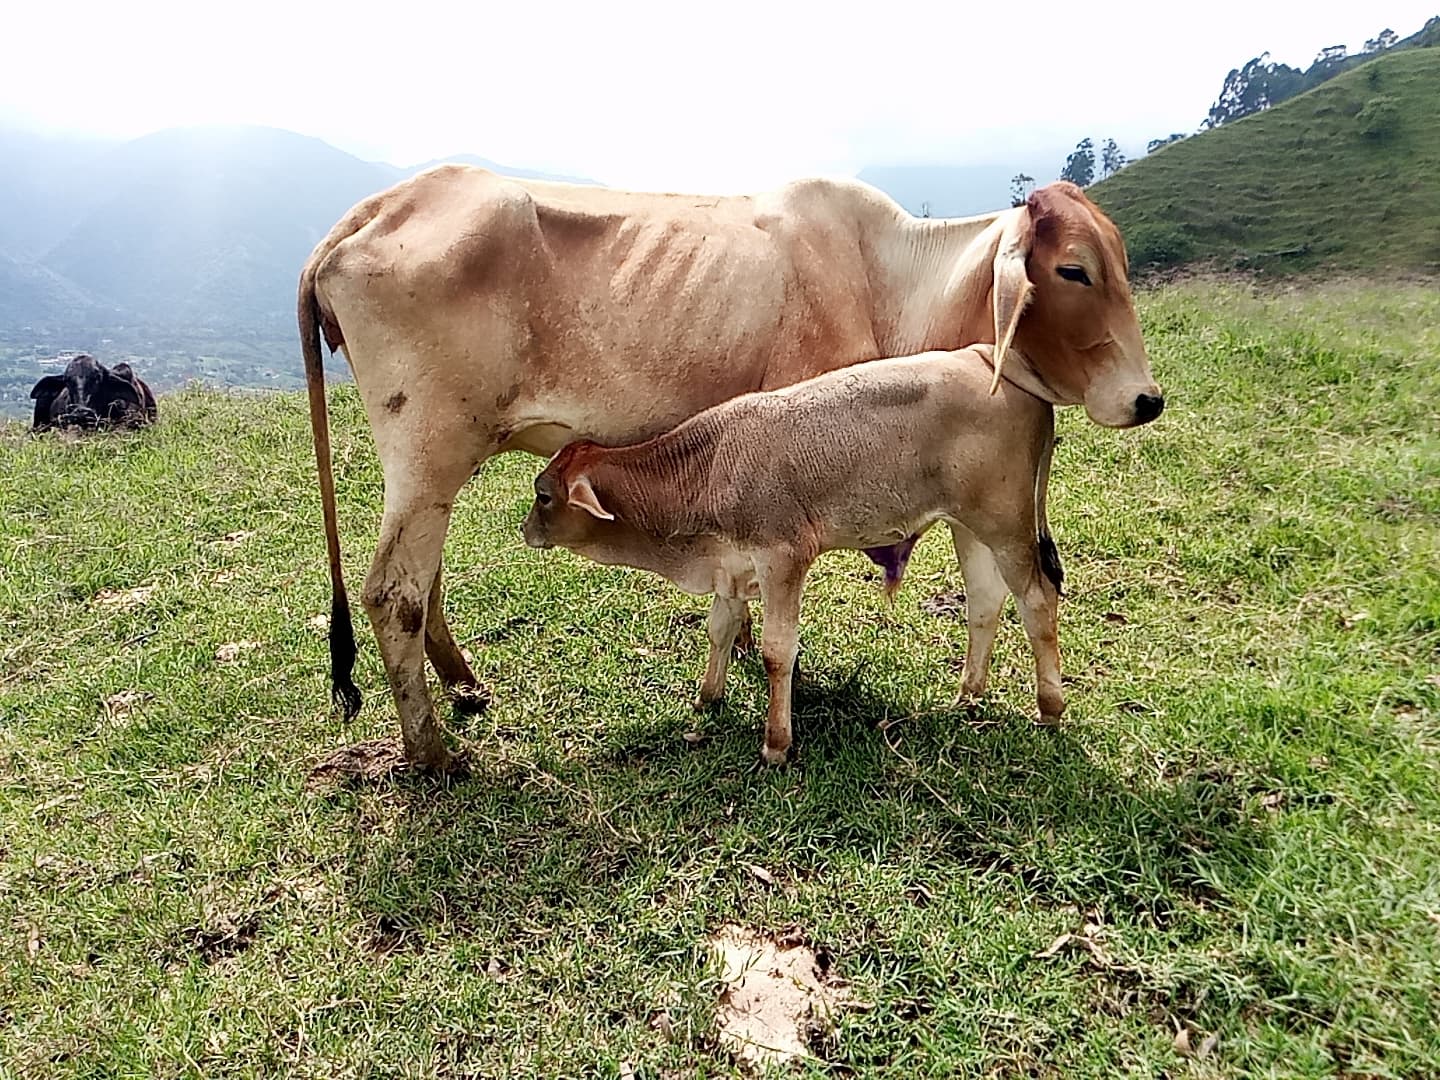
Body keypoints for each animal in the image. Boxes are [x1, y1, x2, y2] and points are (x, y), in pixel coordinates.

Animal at [522, 343, 1062, 764]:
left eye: (543, 494)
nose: (525, 529)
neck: (709, 467)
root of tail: (984, 356)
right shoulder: (731, 567)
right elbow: (719, 630)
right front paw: (707, 698)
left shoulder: (783, 557)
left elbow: (777, 651)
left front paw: (776, 743)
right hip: (968, 528)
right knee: (985, 603)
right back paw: (968, 695)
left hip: (1007, 525)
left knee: (1037, 601)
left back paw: (1049, 707)